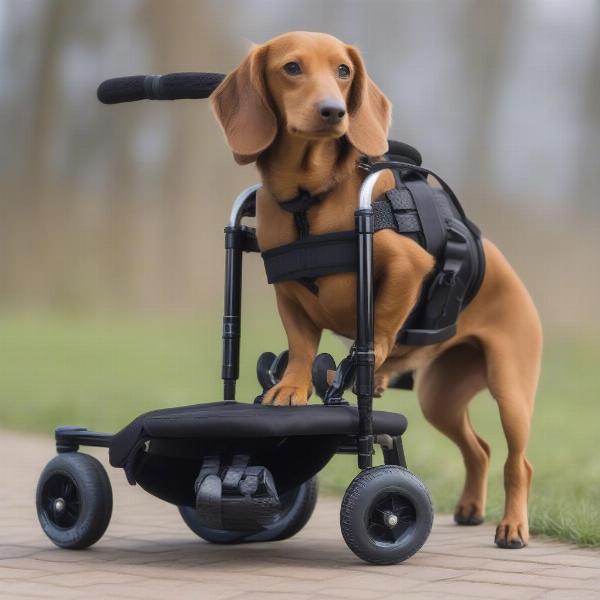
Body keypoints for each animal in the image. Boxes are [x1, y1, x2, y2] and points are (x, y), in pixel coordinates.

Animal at [211, 31, 544, 548]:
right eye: (291, 68)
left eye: (344, 71)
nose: (333, 111)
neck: (310, 197)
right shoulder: (287, 289)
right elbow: (301, 347)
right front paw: (291, 387)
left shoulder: (409, 264)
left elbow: (379, 330)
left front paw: (366, 366)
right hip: (441, 398)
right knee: (481, 448)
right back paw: (470, 507)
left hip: (511, 391)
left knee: (518, 462)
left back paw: (512, 526)